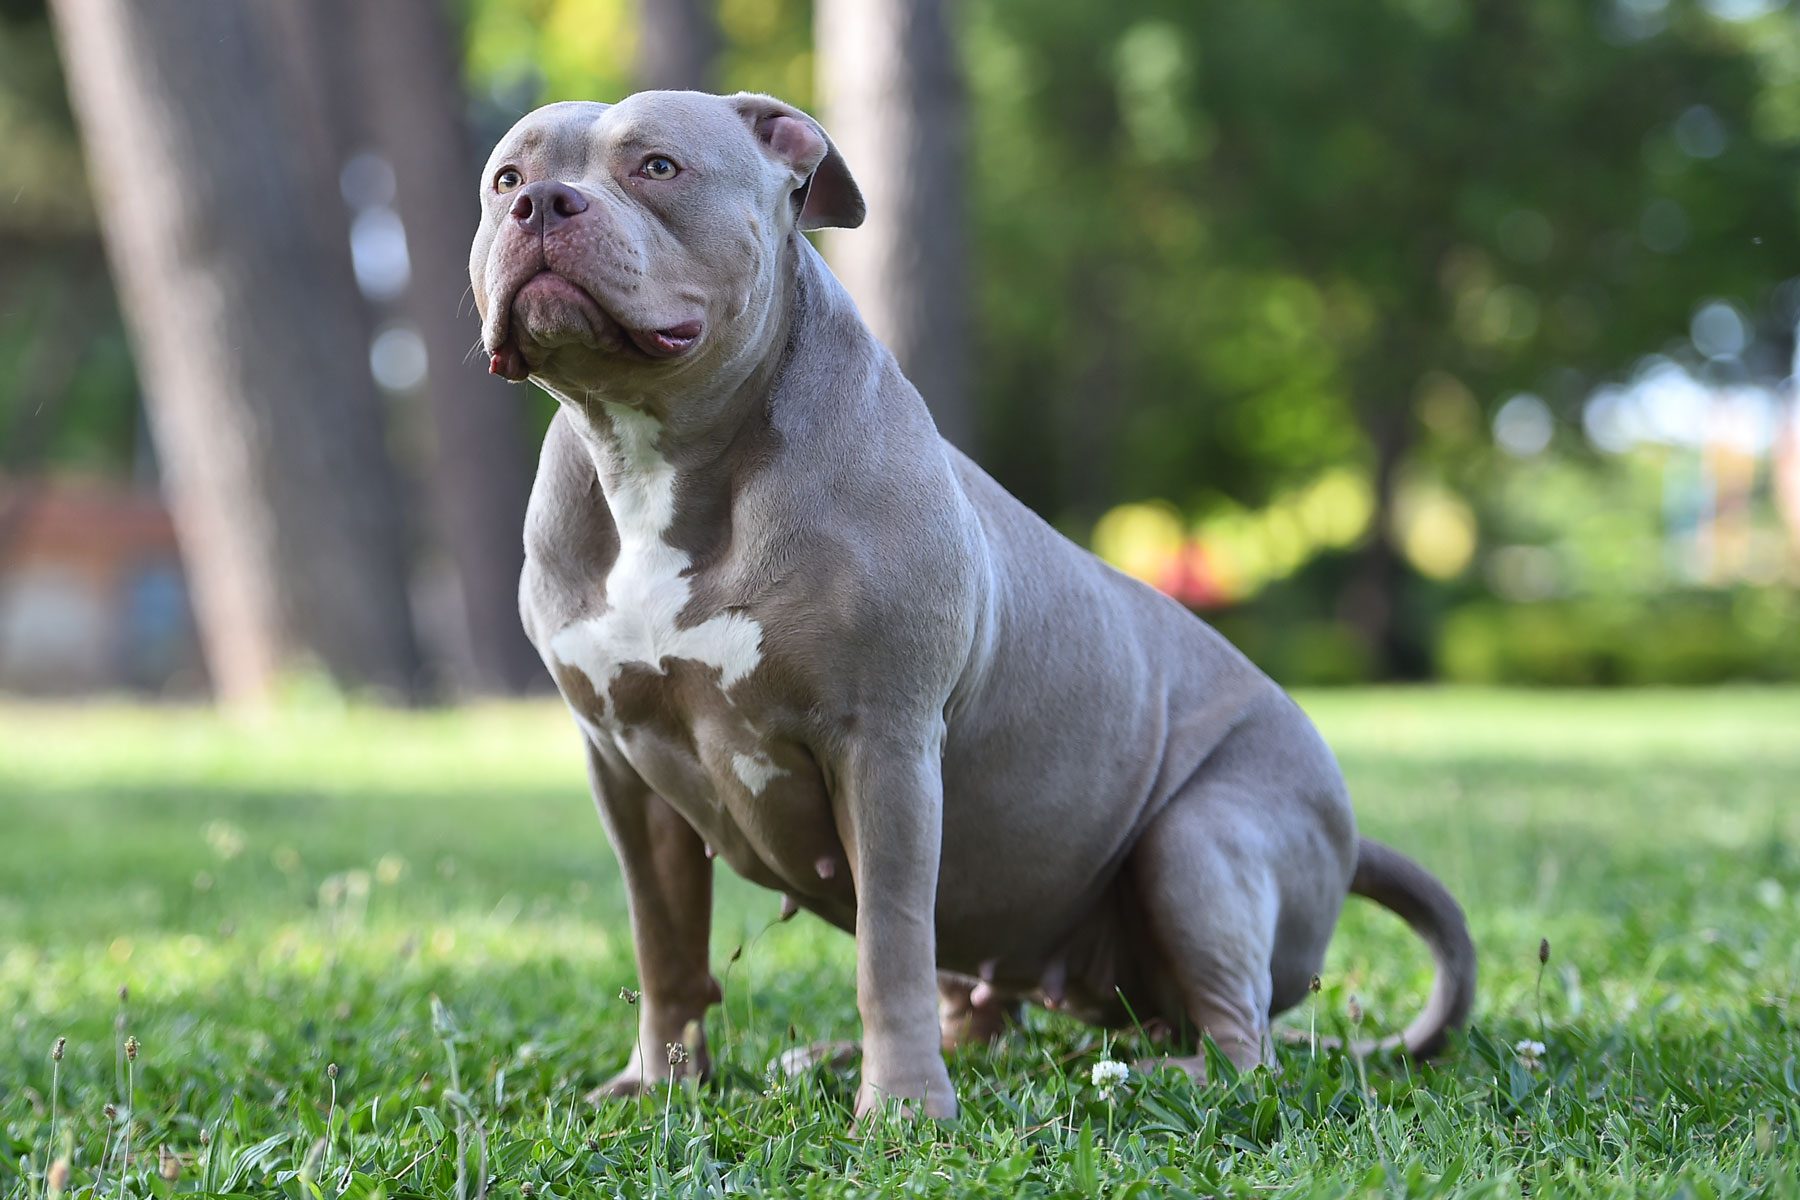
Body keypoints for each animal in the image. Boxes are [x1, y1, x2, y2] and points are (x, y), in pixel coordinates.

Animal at [468, 89, 1476, 1122]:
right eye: (506, 177)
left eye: (659, 167)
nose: (542, 203)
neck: (652, 457)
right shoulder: (626, 773)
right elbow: (664, 946)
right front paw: (658, 1086)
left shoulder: (885, 747)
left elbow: (889, 948)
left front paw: (904, 1108)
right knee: (984, 1006)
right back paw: (839, 1058)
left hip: (1203, 839)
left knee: (1242, 1044)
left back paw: (1146, 1077)